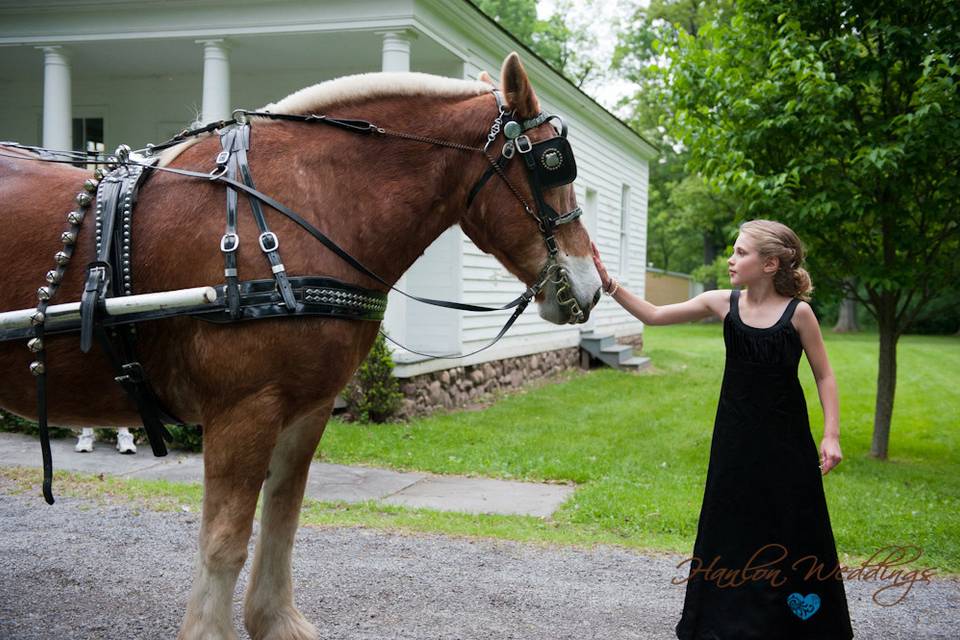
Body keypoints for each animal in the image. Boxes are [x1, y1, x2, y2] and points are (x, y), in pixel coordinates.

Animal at [0, 53, 600, 640]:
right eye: (551, 162)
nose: (593, 288)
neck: (300, 206)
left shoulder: (306, 408)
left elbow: (283, 517)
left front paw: (274, 620)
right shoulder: (242, 410)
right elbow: (225, 539)